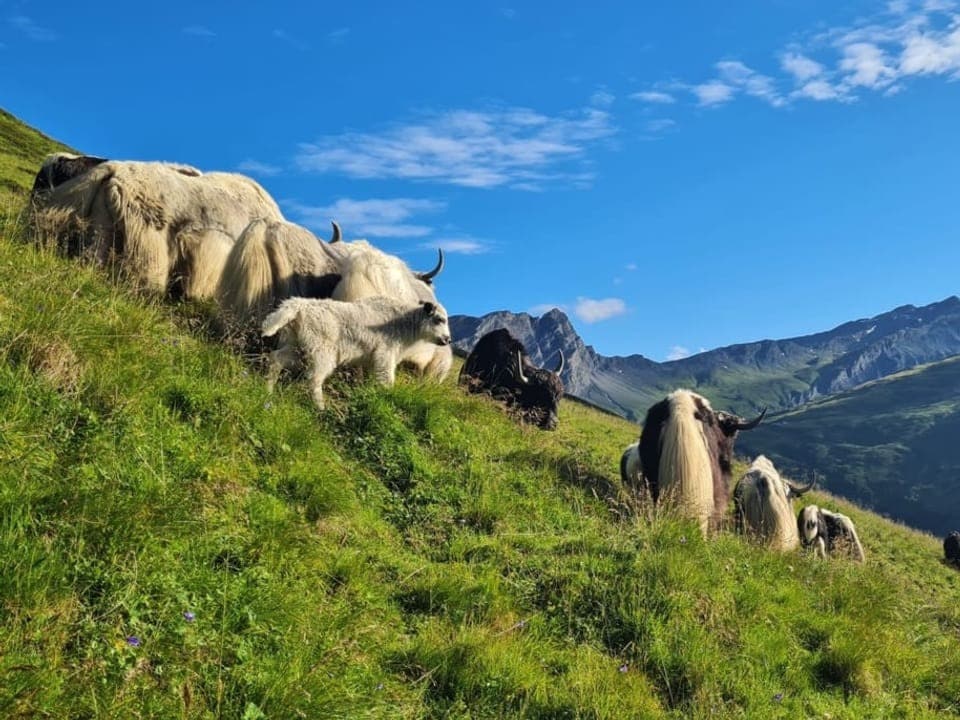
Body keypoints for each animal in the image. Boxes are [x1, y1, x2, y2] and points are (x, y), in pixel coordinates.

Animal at [258, 296, 454, 408]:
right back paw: (320, 408)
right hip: (321, 351)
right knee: (313, 378)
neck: (404, 324)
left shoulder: (371, 360)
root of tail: (298, 306)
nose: (447, 340)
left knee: (276, 359)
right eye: (439, 319)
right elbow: (387, 380)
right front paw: (389, 398)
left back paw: (268, 392)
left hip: (298, 346)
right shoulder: (385, 354)